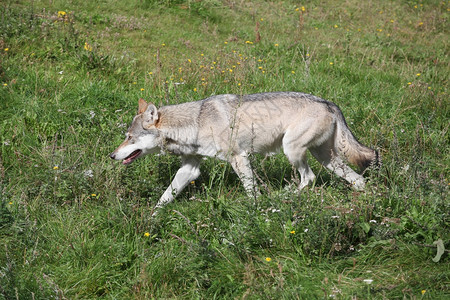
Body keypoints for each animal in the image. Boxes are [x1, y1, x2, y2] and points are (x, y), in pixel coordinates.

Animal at [110, 91, 378, 213]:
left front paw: (255, 211)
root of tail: (330, 103)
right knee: (358, 180)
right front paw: (152, 219)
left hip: (292, 150)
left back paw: (281, 196)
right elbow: (165, 196)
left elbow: (251, 192)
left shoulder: (238, 158)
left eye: (129, 137)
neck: (195, 124)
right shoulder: (190, 168)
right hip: (326, 159)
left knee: (308, 178)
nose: (112, 156)